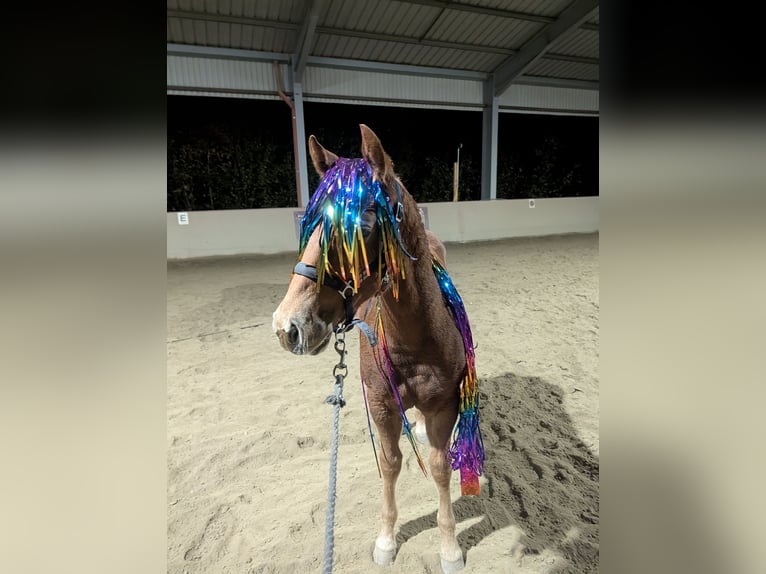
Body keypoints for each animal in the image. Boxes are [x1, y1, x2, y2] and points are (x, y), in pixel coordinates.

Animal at [272, 124, 483, 573]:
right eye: (309, 224)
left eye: (364, 222)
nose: (287, 327)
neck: (416, 342)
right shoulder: (382, 404)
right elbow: (390, 463)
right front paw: (386, 540)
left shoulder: (445, 405)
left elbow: (440, 467)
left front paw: (449, 548)